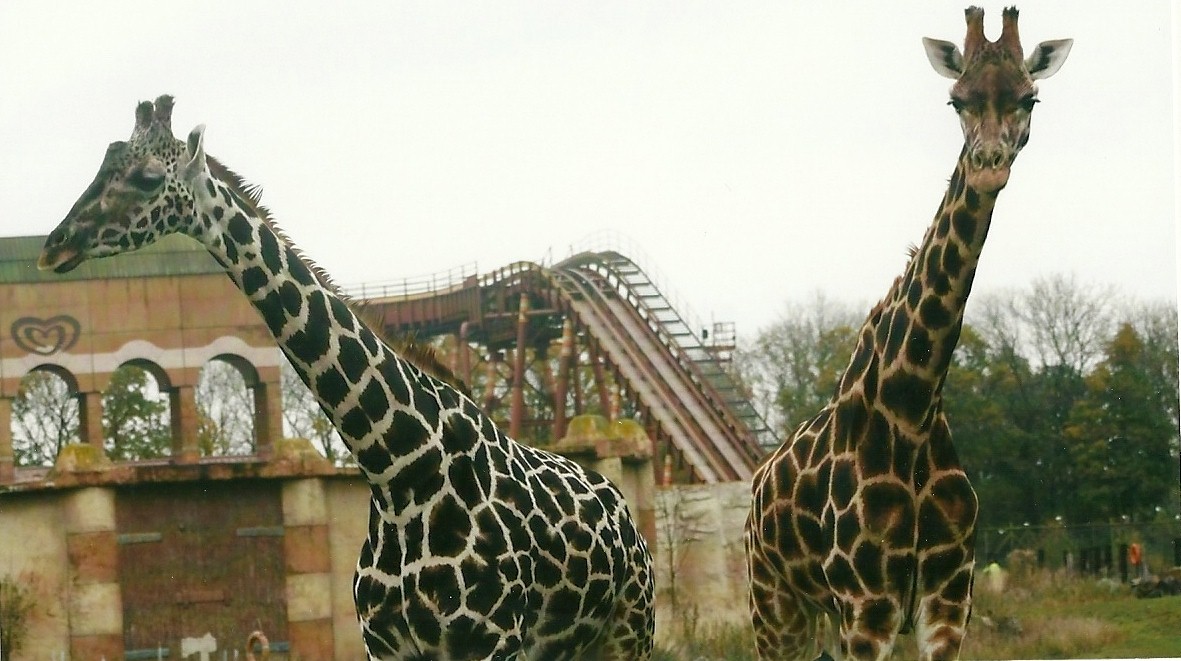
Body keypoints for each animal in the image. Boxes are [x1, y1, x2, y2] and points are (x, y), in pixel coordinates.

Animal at [39, 95, 655, 660]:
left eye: (146, 177)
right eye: (103, 161)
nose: (54, 245)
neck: (398, 470)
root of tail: (626, 513)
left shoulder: (488, 641)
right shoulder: (385, 644)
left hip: (628, 632)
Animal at [745, 7, 1071, 660]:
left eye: (1029, 97)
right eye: (956, 100)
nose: (989, 164)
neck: (912, 406)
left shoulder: (947, 599)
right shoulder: (867, 603)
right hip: (777, 608)